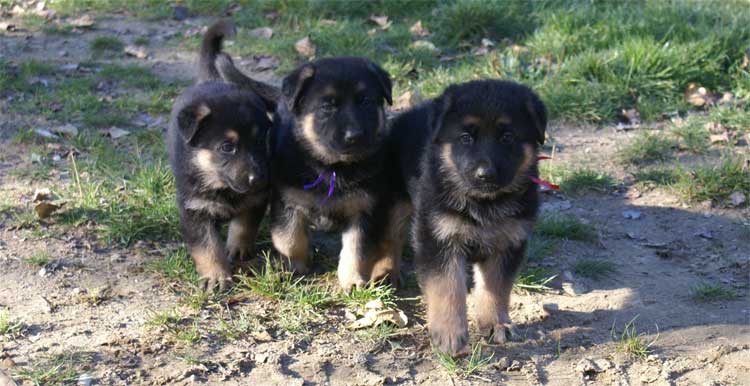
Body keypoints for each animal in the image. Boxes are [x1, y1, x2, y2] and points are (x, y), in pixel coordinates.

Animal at [167, 20, 276, 290]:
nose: (258, 178)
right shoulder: (194, 209)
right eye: (227, 147)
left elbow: (244, 226)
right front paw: (215, 276)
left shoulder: (256, 198)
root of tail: (211, 79)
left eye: (261, 141)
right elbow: (207, 247)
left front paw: (238, 249)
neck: (222, 187)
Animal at [388, 80, 548, 354]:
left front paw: (495, 323)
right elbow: (447, 288)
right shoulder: (438, 238)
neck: (483, 203)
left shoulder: (508, 241)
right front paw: (450, 334)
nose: (486, 174)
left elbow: (496, 288)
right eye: (465, 138)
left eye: (507, 137)